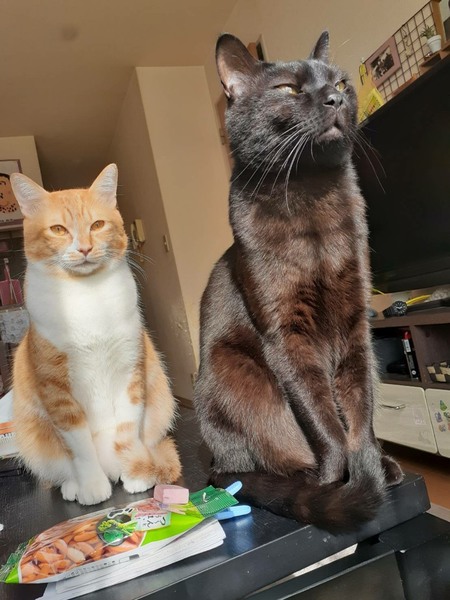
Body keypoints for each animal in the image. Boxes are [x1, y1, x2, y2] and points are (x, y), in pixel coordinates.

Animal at [10, 164, 181, 505]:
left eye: (98, 225)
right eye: (58, 229)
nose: (85, 248)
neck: (87, 297)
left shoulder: (131, 369)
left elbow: (128, 428)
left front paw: (134, 469)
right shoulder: (56, 389)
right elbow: (79, 446)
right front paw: (91, 486)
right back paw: (73, 486)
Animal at [194, 33, 403, 532]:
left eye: (341, 83)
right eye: (288, 89)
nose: (335, 98)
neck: (311, 203)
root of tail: (214, 465)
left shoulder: (355, 326)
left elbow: (359, 412)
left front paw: (371, 468)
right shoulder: (286, 335)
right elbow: (323, 418)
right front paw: (337, 482)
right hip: (231, 372)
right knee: (255, 459)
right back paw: (302, 477)